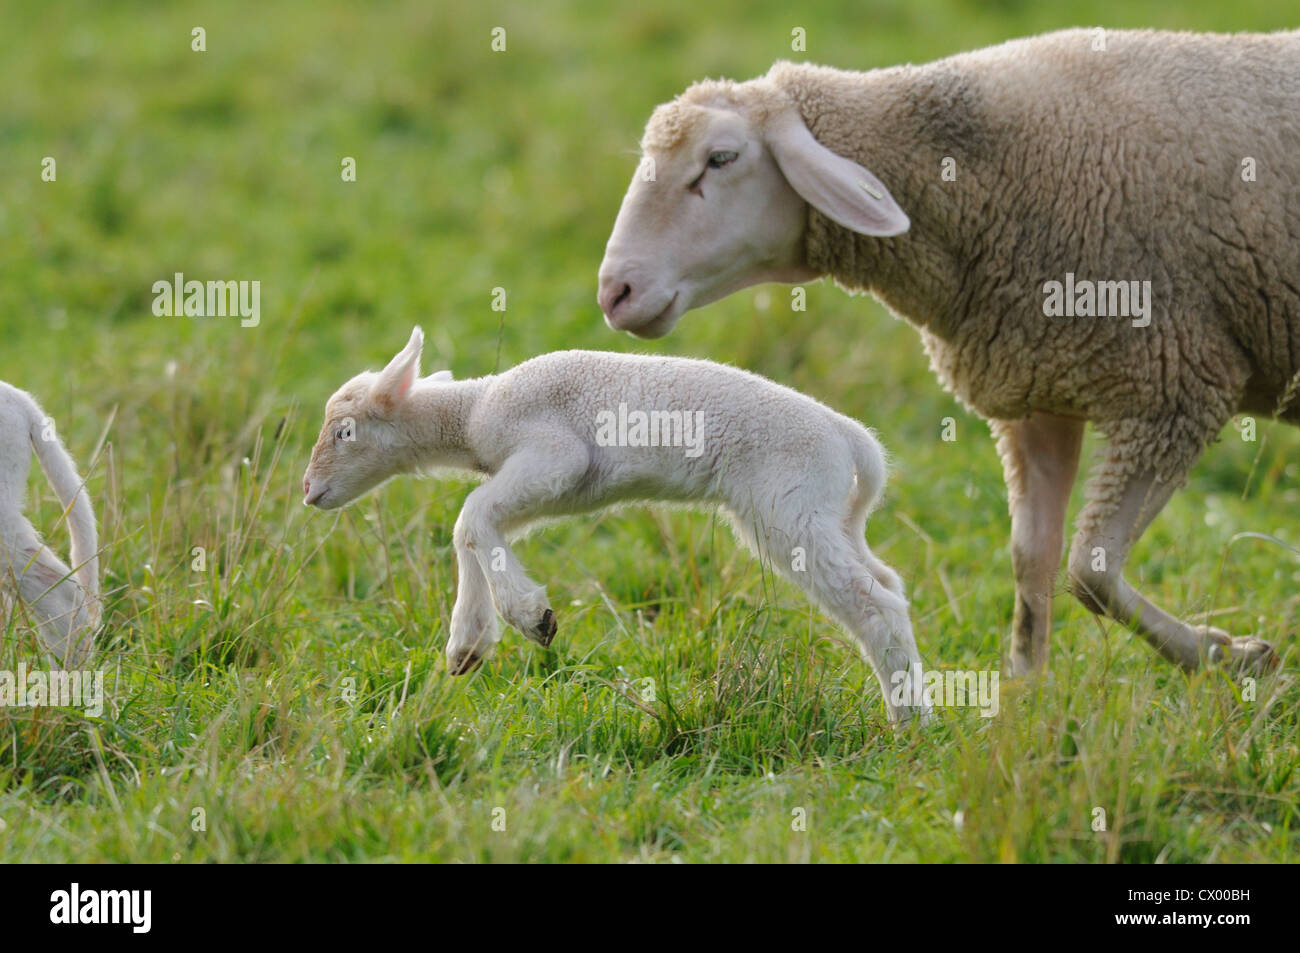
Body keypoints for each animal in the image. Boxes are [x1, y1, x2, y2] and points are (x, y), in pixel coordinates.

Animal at [302, 327, 930, 724]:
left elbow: (472, 514)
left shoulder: (554, 454)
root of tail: (851, 437)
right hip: (827, 511)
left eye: (345, 432)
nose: (309, 492)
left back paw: (908, 723)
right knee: (890, 583)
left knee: (875, 603)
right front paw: (468, 644)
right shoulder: (560, 488)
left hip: (789, 505)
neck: (474, 412)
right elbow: (473, 529)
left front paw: (532, 618)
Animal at [597, 28, 1300, 677]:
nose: (614, 292)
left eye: (720, 158)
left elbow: (1090, 573)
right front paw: (1025, 700)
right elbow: (1032, 563)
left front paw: (1228, 656)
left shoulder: (1176, 390)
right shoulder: (1037, 396)